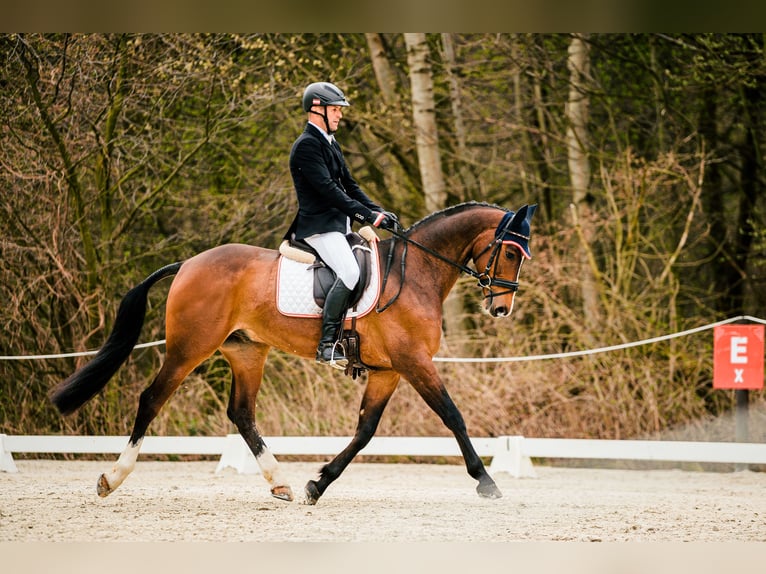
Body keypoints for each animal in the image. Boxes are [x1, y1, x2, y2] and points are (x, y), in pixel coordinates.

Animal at [51, 201, 536, 504]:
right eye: (511, 252)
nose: (502, 308)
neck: (414, 274)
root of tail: (187, 263)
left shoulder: (388, 371)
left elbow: (365, 432)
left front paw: (317, 484)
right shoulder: (414, 363)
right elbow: (452, 415)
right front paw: (486, 481)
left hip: (247, 352)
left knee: (242, 413)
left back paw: (280, 484)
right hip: (189, 348)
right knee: (152, 399)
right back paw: (112, 479)